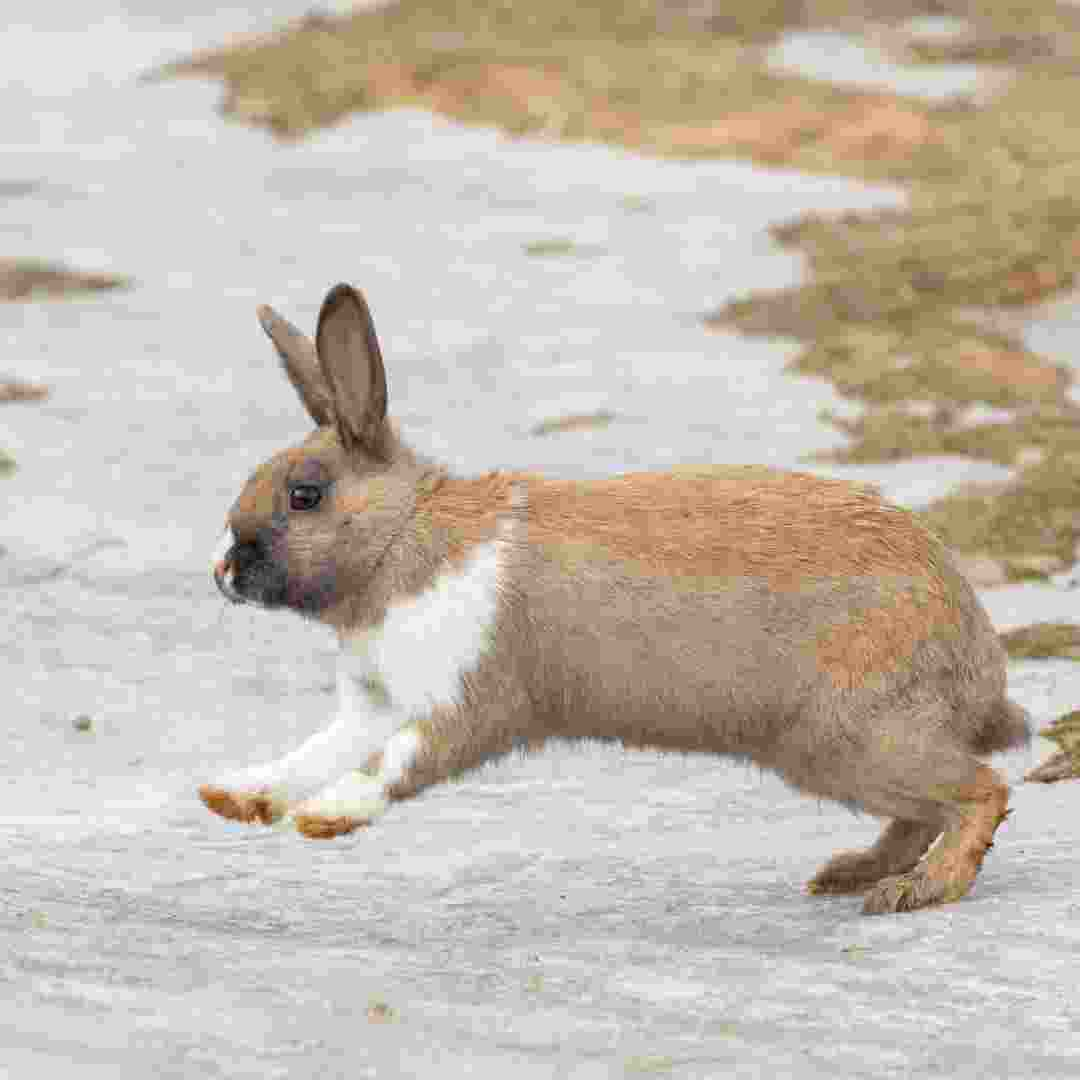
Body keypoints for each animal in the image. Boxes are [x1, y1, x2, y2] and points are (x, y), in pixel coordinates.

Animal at [200, 282, 1028, 915]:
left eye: (305, 495)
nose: (222, 572)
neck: (404, 538)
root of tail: (977, 662)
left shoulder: (468, 700)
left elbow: (392, 766)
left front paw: (324, 818)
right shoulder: (373, 703)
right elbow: (313, 751)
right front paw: (235, 798)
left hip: (850, 738)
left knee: (981, 792)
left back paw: (919, 891)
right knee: (921, 814)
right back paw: (853, 873)